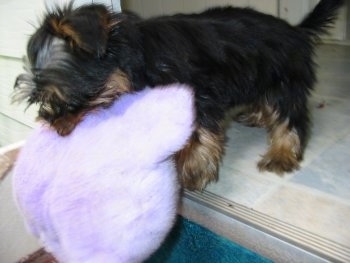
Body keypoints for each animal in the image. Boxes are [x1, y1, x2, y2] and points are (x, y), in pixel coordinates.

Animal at [12, 0, 344, 191]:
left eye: (68, 99)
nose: (53, 127)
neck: (138, 59)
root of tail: (295, 30)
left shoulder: (199, 92)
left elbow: (198, 133)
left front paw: (191, 169)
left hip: (285, 77)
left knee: (290, 115)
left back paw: (282, 153)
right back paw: (257, 116)